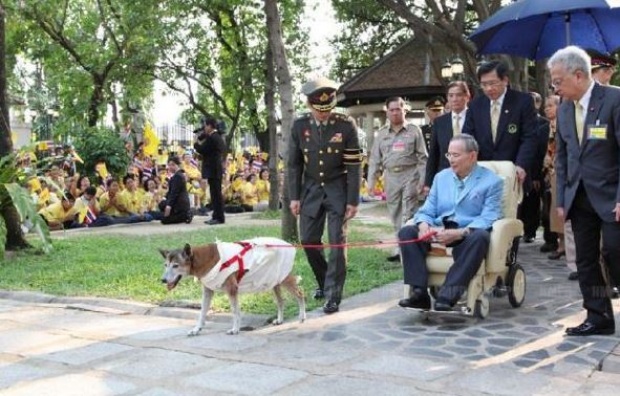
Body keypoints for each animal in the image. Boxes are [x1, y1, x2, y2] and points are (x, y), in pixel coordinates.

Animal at [160, 238, 306, 334]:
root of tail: (287, 244)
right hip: (273, 280)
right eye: (165, 265)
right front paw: (197, 329)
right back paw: (280, 320)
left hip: (284, 279)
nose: (163, 280)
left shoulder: (232, 289)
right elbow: (202, 312)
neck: (202, 259)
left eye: (176, 265)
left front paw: (235, 329)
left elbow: (235, 311)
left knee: (300, 293)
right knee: (281, 301)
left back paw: (302, 316)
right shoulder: (208, 291)